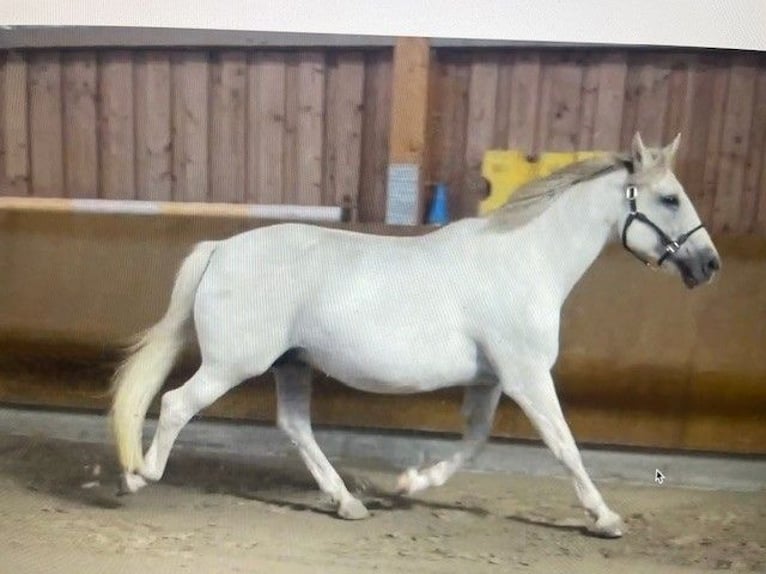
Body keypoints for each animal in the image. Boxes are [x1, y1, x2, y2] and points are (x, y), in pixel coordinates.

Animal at [110, 132, 720, 538]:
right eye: (669, 198)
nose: (709, 264)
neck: (526, 260)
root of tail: (220, 249)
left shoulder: (492, 380)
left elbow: (475, 443)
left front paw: (409, 484)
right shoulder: (526, 376)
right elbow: (564, 444)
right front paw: (606, 518)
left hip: (293, 363)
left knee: (295, 427)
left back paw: (348, 504)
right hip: (233, 364)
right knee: (176, 403)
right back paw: (138, 476)